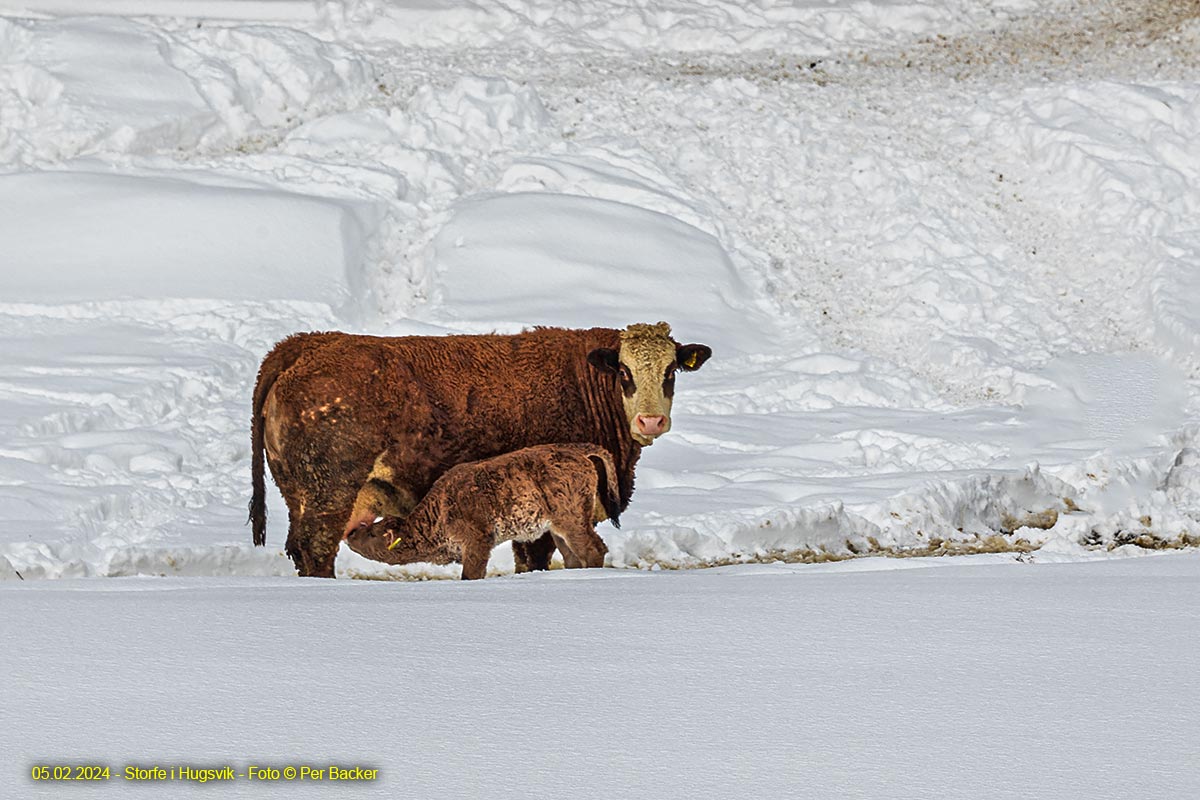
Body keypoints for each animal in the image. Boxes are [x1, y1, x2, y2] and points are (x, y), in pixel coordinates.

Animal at [338, 443, 619, 582]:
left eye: (372, 532)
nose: (351, 534)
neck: (439, 511)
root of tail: (582, 454)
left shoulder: (476, 540)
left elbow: (470, 574)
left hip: (571, 520)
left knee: (593, 548)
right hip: (557, 528)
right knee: (572, 555)